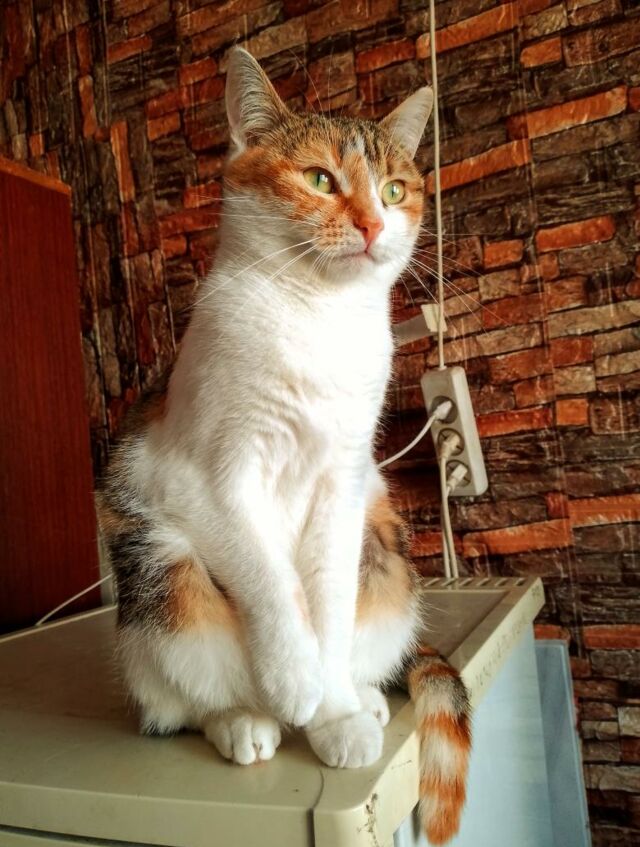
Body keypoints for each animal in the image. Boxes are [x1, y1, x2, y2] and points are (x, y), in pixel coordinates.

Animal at [98, 48, 470, 845]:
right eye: (320, 179)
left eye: (394, 189)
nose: (372, 222)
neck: (316, 316)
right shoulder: (205, 478)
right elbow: (271, 581)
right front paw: (297, 680)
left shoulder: (344, 482)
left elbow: (324, 600)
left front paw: (332, 713)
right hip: (161, 574)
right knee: (185, 698)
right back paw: (246, 719)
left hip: (384, 559)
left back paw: (358, 698)